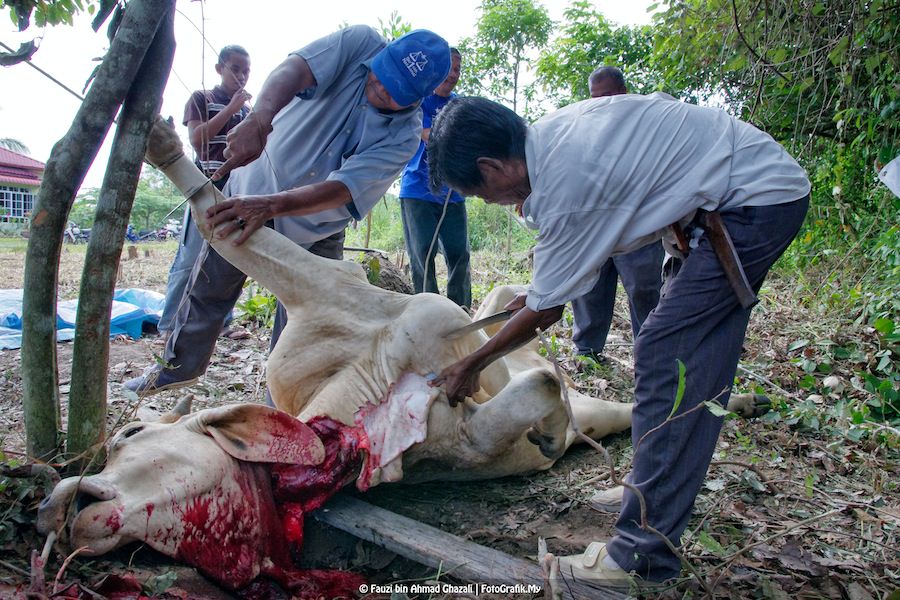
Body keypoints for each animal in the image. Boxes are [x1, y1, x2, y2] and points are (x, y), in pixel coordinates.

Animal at [37, 118, 764, 595]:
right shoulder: (466, 437)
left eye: (128, 436)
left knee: (538, 329)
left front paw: (163, 141)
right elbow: (539, 386)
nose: (55, 513)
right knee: (598, 395)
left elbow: (226, 222)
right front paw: (546, 433)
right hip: (595, 406)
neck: (358, 400)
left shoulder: (334, 290)